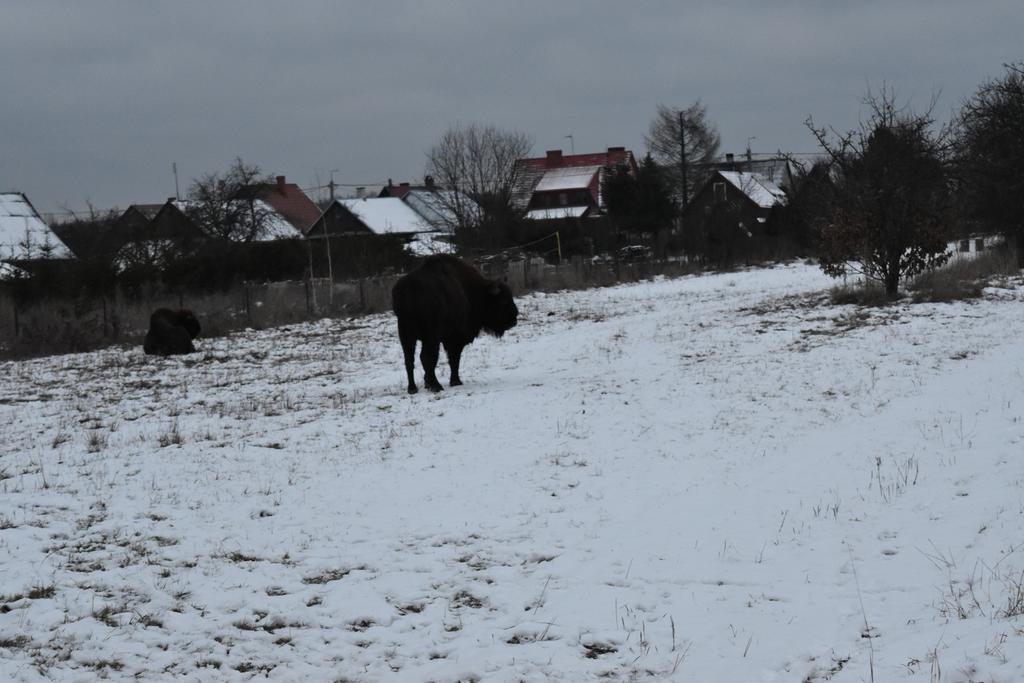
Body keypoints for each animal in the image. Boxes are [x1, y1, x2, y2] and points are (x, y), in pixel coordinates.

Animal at [391, 254, 520, 395]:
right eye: (503, 301)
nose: (514, 319)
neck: (476, 291)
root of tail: (408, 289)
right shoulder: (454, 340)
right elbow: (454, 360)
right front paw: (456, 381)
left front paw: (429, 383)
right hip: (430, 337)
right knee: (426, 358)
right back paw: (436, 386)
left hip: (407, 336)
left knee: (410, 360)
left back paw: (413, 388)